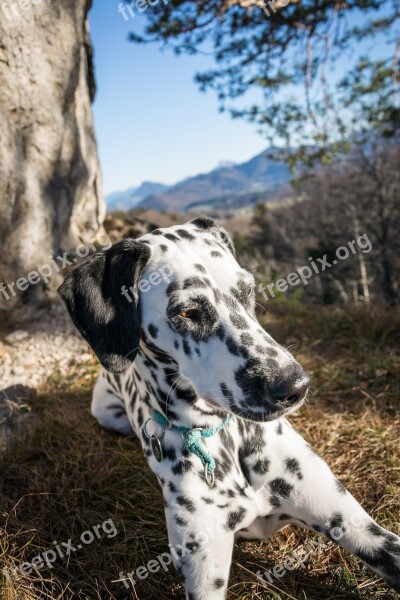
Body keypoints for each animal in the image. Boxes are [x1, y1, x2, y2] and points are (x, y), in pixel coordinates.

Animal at [58, 217, 400, 600]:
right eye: (188, 311)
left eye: (247, 291)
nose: (294, 386)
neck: (224, 439)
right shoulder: (205, 575)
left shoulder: (359, 528)